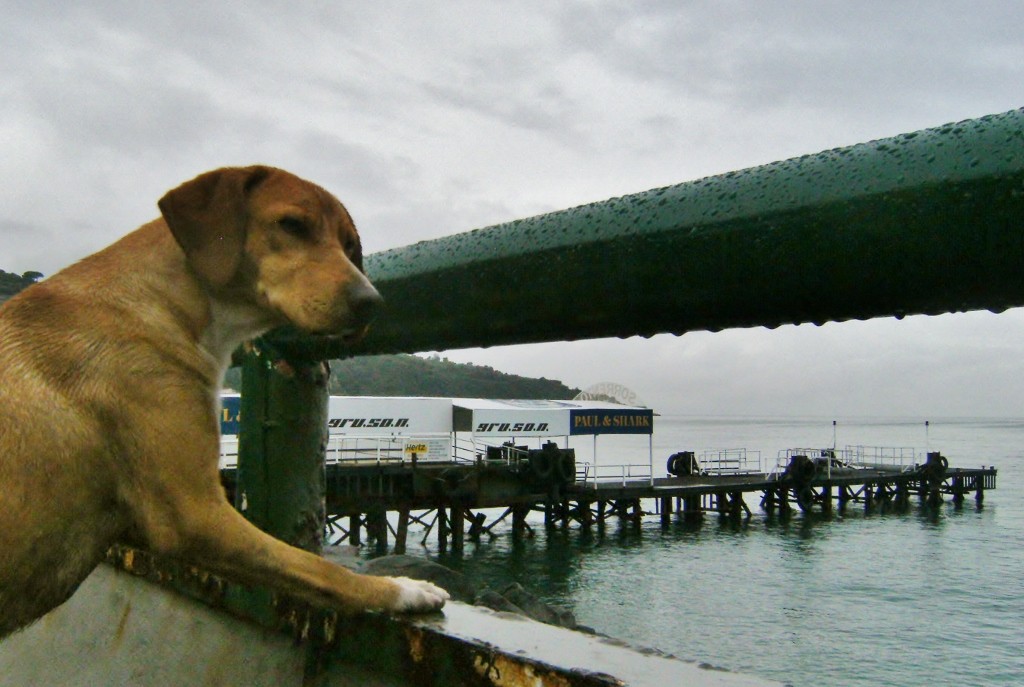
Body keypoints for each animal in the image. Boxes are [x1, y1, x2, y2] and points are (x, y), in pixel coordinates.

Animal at [0, 164, 448, 638]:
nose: (372, 303)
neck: (168, 303)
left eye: (349, 245)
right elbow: (317, 567)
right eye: (292, 225)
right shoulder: (195, 513)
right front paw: (403, 589)